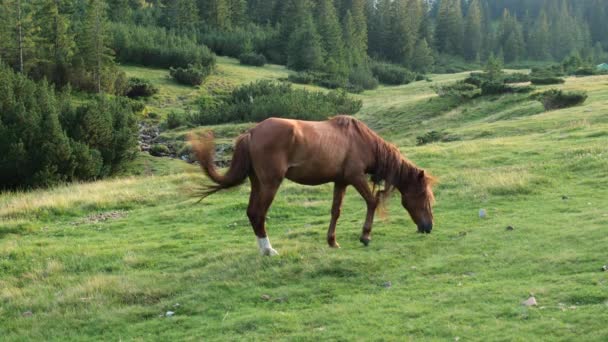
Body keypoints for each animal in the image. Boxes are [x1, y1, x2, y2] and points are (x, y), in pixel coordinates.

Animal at [188, 116, 434, 255]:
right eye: (424, 197)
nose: (428, 227)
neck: (360, 140)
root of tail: (251, 132)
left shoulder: (341, 181)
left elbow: (336, 211)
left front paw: (332, 241)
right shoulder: (355, 177)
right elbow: (372, 201)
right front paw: (365, 237)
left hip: (257, 182)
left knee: (251, 213)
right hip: (270, 184)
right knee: (258, 214)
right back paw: (268, 250)